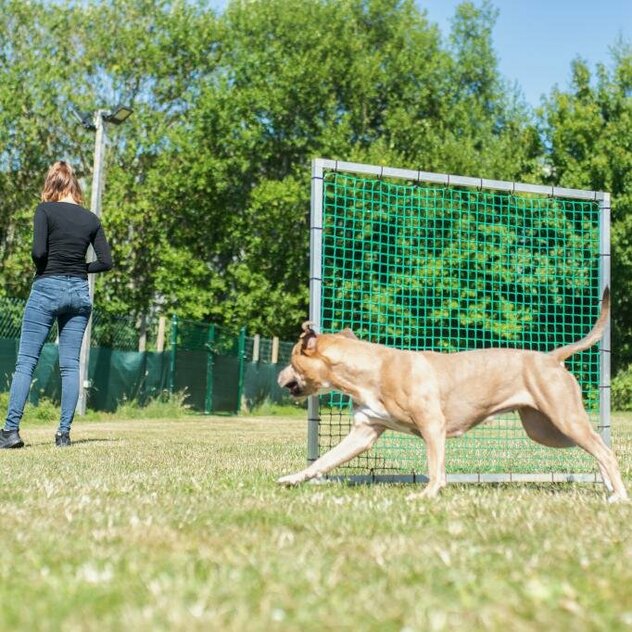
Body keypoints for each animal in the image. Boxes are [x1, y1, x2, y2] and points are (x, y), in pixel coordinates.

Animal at [276, 288, 628, 502]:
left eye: (292, 358)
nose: (281, 376)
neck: (369, 370)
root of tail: (552, 358)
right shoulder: (363, 433)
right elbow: (323, 461)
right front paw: (293, 478)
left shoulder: (433, 425)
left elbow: (435, 466)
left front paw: (428, 494)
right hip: (546, 430)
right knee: (599, 448)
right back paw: (610, 487)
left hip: (564, 418)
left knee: (604, 451)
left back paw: (620, 495)